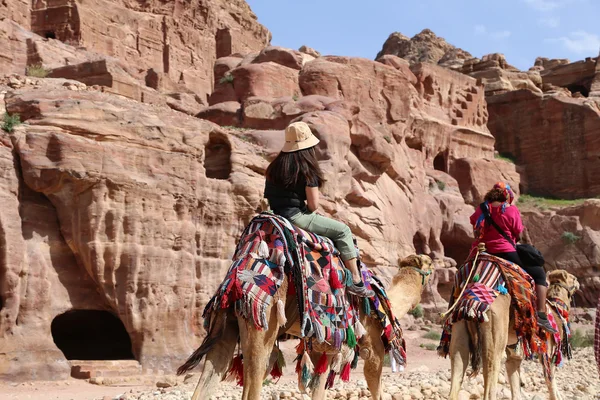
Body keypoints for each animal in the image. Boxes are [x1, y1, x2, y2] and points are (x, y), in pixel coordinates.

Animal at [180, 255, 434, 398]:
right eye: (429, 262)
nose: (436, 267)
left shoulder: (322, 345)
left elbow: (316, 386)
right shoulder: (371, 346)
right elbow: (374, 385)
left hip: (226, 321)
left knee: (211, 376)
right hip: (264, 319)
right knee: (255, 377)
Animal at [448, 268, 580, 400]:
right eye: (573, 278)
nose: (578, 282)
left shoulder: (514, 355)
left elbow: (516, 387)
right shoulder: (548, 352)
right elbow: (551, 382)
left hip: (460, 326)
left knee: (458, 363)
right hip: (495, 335)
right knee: (491, 373)